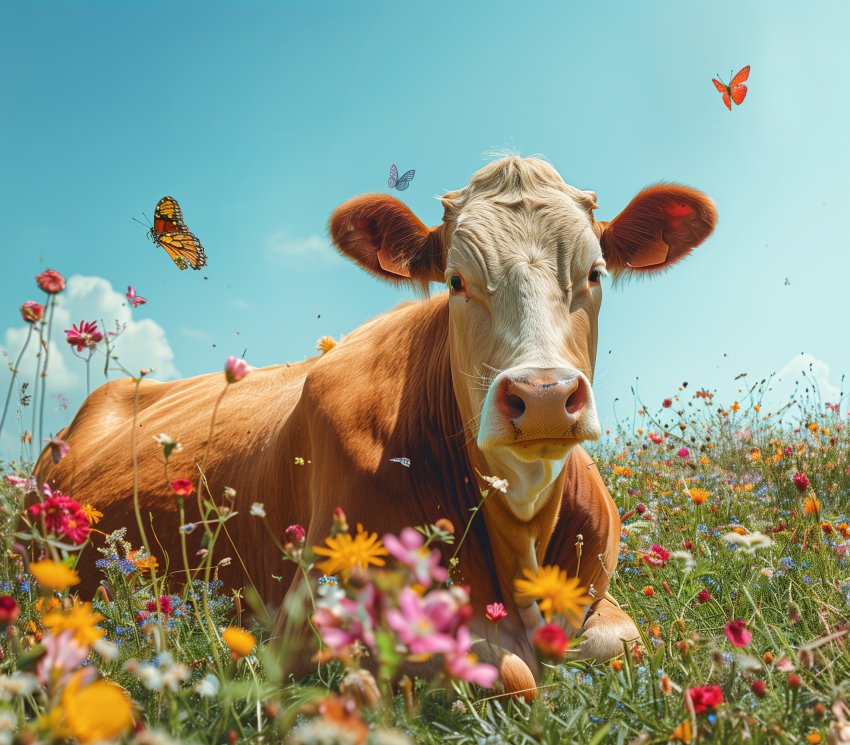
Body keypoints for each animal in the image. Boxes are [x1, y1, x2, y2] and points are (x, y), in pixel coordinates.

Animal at [34, 156, 716, 694]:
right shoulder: (313, 618)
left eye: (594, 274)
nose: (543, 395)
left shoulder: (602, 606)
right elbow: (508, 670)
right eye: (456, 281)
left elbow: (621, 645)